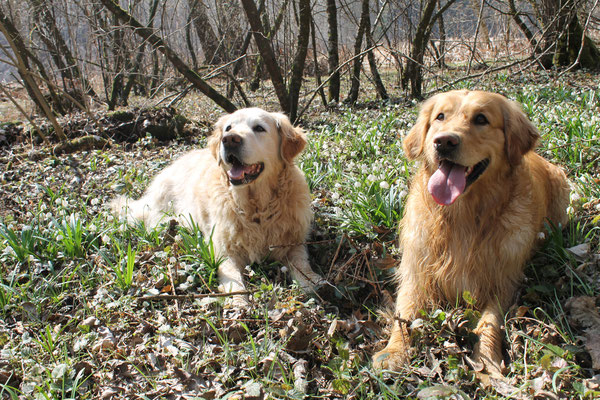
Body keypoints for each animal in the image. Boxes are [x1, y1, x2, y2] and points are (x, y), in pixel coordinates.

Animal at [114, 108, 326, 302]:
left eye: (259, 128)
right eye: (228, 128)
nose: (230, 139)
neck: (256, 206)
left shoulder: (293, 241)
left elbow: (301, 263)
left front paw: (311, 281)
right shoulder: (223, 249)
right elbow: (233, 278)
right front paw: (239, 303)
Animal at [372, 90, 568, 376]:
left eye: (481, 119)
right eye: (440, 116)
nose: (444, 142)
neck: (462, 217)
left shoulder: (502, 281)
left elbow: (488, 323)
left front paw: (487, 362)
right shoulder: (416, 273)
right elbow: (404, 314)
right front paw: (394, 351)